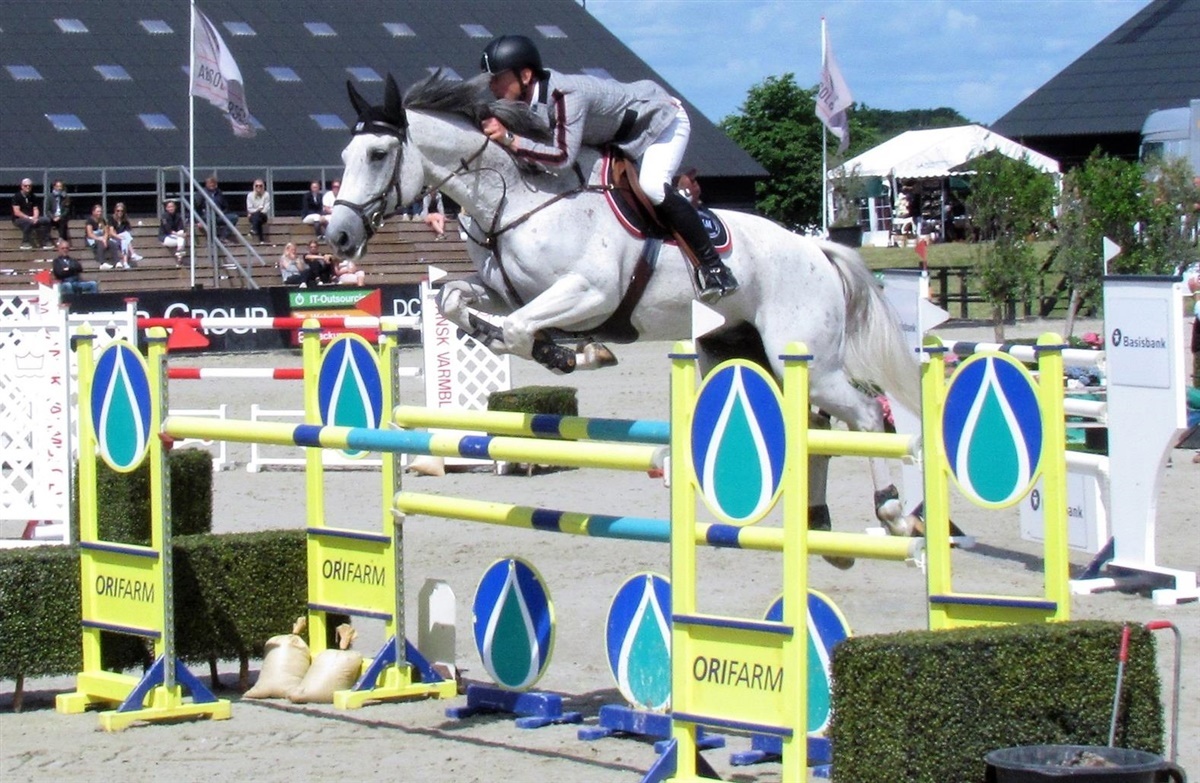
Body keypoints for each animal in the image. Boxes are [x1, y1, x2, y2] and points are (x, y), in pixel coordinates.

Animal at [326, 73, 923, 547]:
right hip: (739, 350)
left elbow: (518, 329)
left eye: (378, 155)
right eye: (344, 158)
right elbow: (456, 301)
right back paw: (819, 520)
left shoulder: (591, 293)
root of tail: (816, 249)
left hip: (806, 359)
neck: (516, 197)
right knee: (816, 423)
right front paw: (550, 348)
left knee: (866, 416)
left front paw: (567, 353)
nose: (338, 236)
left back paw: (894, 513)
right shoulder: (503, 290)